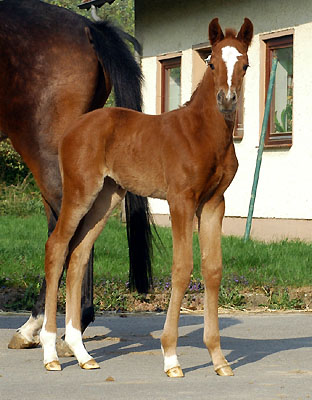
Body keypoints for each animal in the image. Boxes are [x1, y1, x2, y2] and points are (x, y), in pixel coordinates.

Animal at [39, 18, 254, 376]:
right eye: (211, 63)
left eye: (245, 65)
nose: (227, 99)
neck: (204, 134)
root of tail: (73, 128)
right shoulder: (181, 200)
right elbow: (182, 267)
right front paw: (171, 357)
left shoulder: (213, 204)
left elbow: (212, 269)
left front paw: (219, 359)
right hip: (81, 191)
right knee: (57, 247)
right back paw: (51, 353)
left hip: (107, 198)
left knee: (79, 254)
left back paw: (82, 354)